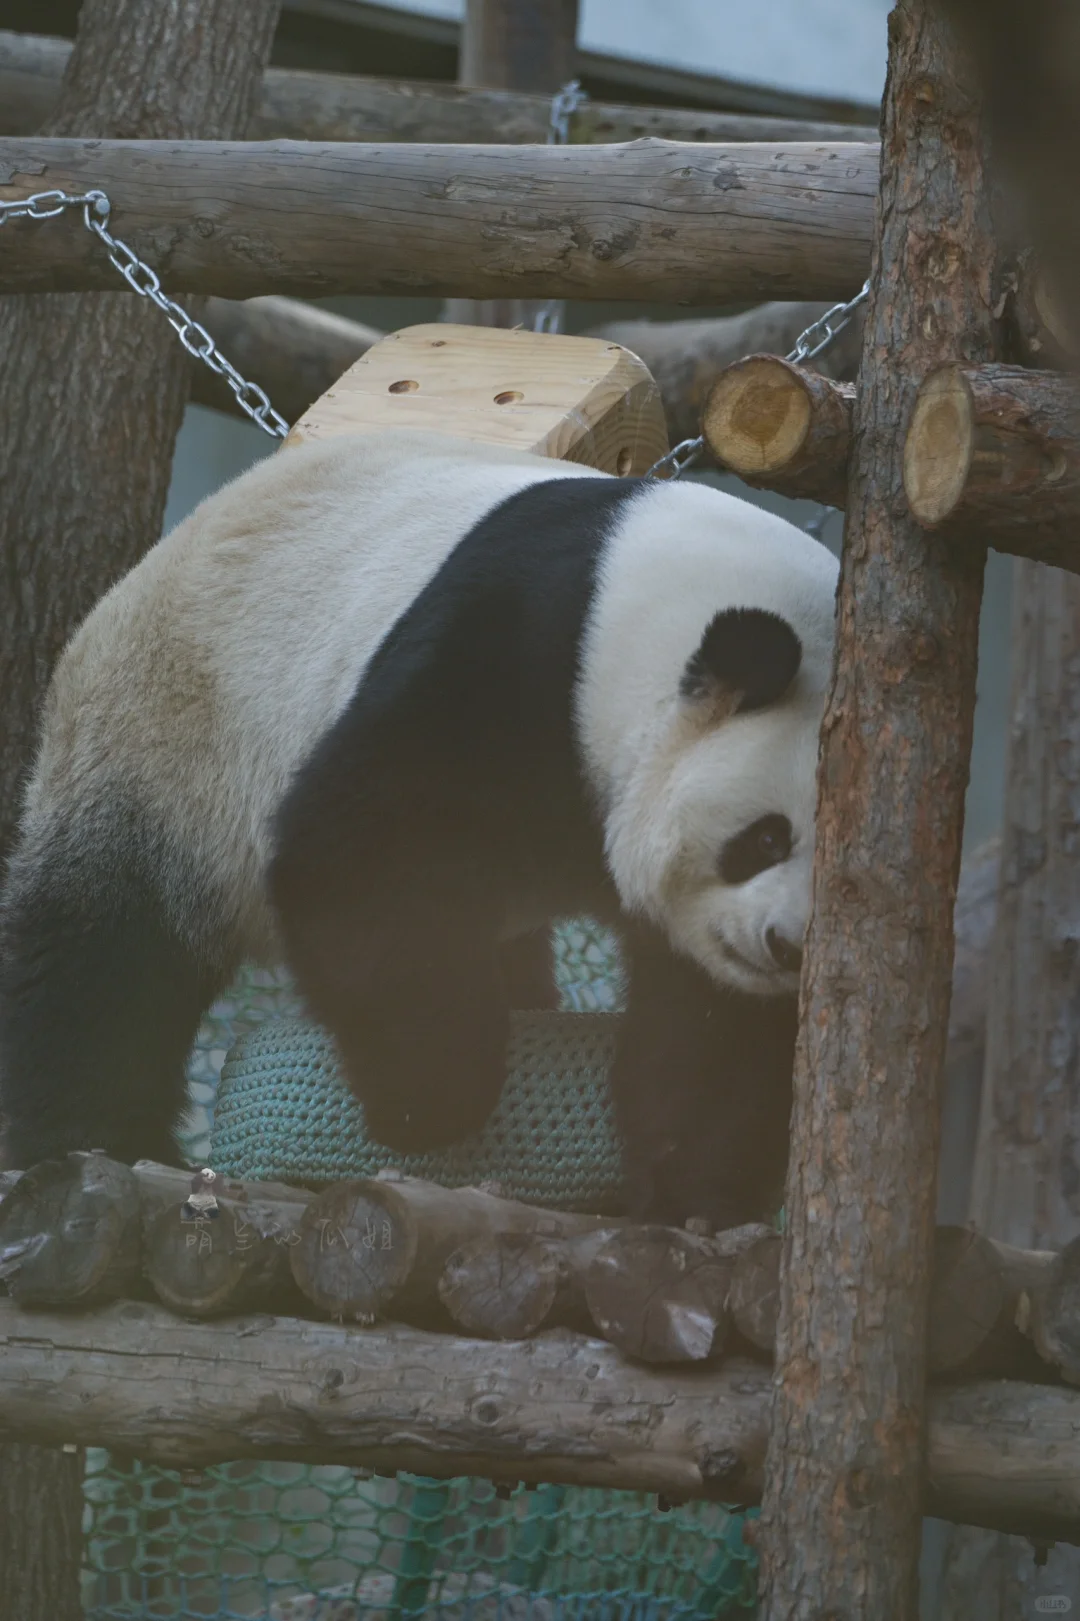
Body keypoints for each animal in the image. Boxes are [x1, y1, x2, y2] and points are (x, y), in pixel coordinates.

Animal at [0, 431, 836, 1225]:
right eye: (765, 838)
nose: (785, 946)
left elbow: (717, 1023)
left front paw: (695, 1192)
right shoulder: (520, 651)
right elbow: (364, 852)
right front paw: (430, 1095)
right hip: (166, 738)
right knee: (107, 950)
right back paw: (99, 1132)